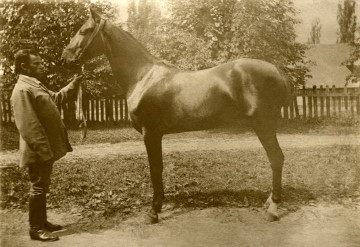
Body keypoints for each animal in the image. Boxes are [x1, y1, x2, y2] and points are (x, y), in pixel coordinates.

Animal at [62, 8, 292, 223]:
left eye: (84, 31)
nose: (65, 57)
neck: (143, 77)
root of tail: (277, 71)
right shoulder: (155, 134)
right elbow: (159, 168)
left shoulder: (151, 133)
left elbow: (155, 169)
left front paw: (153, 211)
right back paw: (269, 201)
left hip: (264, 125)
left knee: (277, 158)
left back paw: (273, 207)